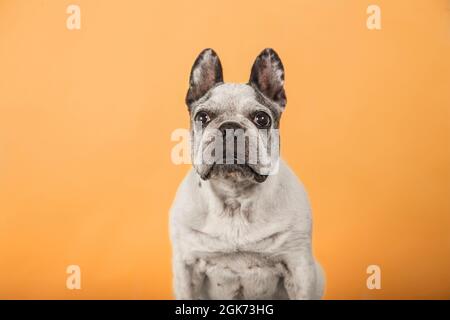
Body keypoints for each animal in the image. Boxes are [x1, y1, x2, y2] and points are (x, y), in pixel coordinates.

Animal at [169, 48, 324, 300]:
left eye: (262, 119)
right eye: (202, 117)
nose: (230, 126)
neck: (235, 199)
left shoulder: (299, 267)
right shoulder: (186, 267)